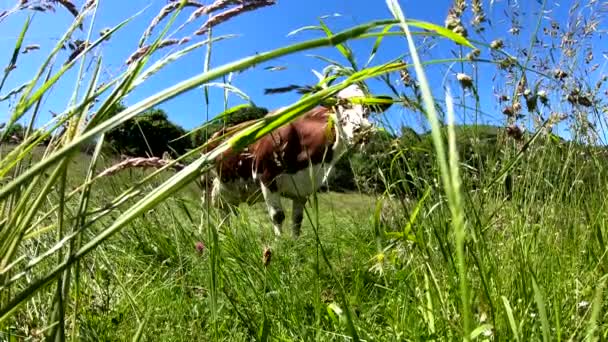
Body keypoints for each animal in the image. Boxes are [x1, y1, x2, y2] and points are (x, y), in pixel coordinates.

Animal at [200, 83, 390, 238]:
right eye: (340, 104)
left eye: (369, 108)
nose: (362, 130)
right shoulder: (267, 177)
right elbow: (277, 216)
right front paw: (280, 245)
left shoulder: (303, 188)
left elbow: (297, 220)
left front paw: (295, 244)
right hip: (205, 183)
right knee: (205, 209)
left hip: (228, 190)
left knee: (225, 211)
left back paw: (227, 235)